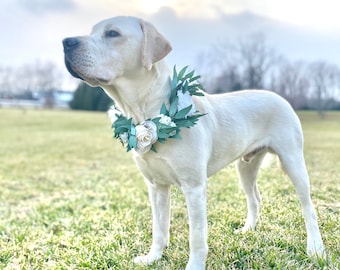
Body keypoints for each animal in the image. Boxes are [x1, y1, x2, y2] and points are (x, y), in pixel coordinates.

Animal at [63, 15, 324, 268]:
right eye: (92, 31)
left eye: (112, 33)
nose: (66, 42)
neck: (146, 113)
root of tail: (279, 97)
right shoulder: (156, 186)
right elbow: (159, 228)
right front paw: (152, 257)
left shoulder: (194, 187)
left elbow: (196, 237)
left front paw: (194, 265)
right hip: (245, 166)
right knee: (255, 199)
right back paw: (248, 230)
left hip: (293, 161)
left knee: (308, 206)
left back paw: (315, 248)